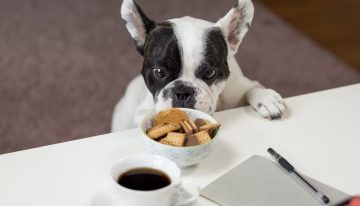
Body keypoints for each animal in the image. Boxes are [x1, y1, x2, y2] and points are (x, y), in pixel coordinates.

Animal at [111, 0, 286, 132]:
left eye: (210, 73)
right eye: (159, 72)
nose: (182, 92)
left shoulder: (239, 86)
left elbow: (252, 88)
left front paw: (266, 98)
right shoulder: (141, 111)